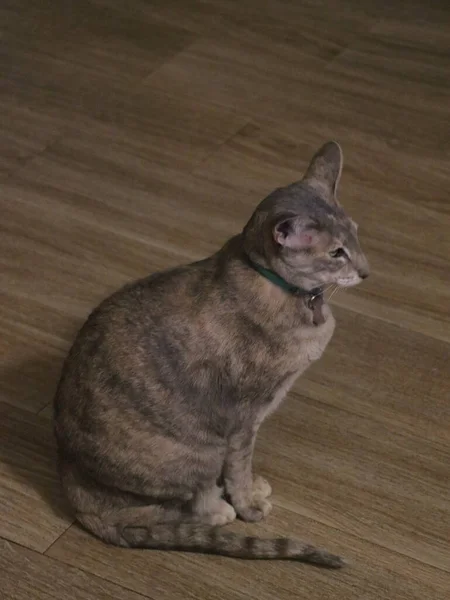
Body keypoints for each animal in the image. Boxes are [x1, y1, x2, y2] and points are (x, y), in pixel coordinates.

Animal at [53, 141, 370, 568]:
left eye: (355, 236)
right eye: (336, 253)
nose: (366, 271)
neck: (286, 292)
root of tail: (71, 485)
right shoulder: (244, 419)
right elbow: (239, 468)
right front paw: (248, 503)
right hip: (198, 451)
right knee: (162, 510)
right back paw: (218, 510)